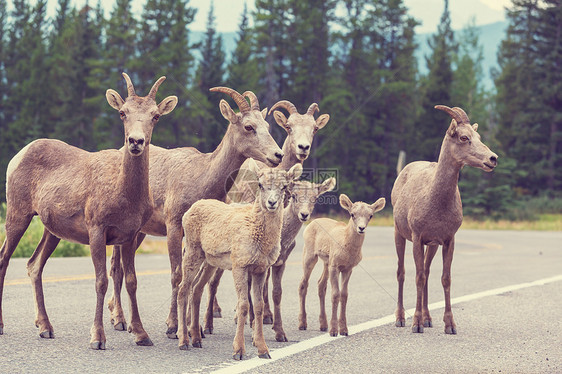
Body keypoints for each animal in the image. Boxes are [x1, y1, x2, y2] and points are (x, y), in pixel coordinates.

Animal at [0, 74, 177, 350]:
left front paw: (141, 334)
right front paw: (97, 338)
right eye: (122, 113)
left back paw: (45, 327)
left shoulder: (131, 234)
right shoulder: (96, 227)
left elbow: (131, 281)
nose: (135, 141)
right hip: (18, 212)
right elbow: (101, 280)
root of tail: (16, 157)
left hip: (52, 230)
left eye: (155, 115)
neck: (125, 196)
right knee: (4, 260)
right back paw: (3, 325)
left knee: (33, 264)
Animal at [106, 86, 282, 338]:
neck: (201, 178)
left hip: (140, 232)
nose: (277, 155)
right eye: (249, 126)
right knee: (116, 268)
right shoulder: (173, 226)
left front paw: (194, 328)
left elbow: (194, 278)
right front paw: (172, 327)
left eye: (267, 125)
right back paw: (119, 321)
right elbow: (177, 275)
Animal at [177, 160, 302, 360]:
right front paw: (239, 351)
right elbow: (243, 305)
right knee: (183, 289)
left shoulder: (261, 269)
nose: (272, 202)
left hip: (210, 261)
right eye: (260, 184)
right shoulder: (239, 265)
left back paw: (197, 339)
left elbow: (258, 306)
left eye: (284, 187)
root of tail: (189, 211)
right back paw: (184, 342)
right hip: (192, 252)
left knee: (196, 289)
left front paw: (263, 350)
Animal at [298, 194, 384, 338]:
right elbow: (335, 295)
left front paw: (344, 330)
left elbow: (344, 295)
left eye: (370, 215)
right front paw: (334, 331)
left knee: (321, 284)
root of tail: (310, 224)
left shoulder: (347, 269)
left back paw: (323, 325)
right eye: (352, 214)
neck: (347, 249)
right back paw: (302, 324)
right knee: (303, 284)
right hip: (310, 256)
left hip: (326, 262)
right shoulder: (335, 267)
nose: (361, 228)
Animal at [392, 104, 496, 334]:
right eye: (464, 137)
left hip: (431, 245)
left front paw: (450, 325)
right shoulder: (417, 236)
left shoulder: (447, 239)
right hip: (399, 234)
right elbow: (418, 277)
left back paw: (428, 319)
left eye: (478, 136)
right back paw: (401, 319)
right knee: (402, 272)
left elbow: (444, 278)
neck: (436, 201)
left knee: (427, 271)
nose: (493, 159)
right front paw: (416, 324)